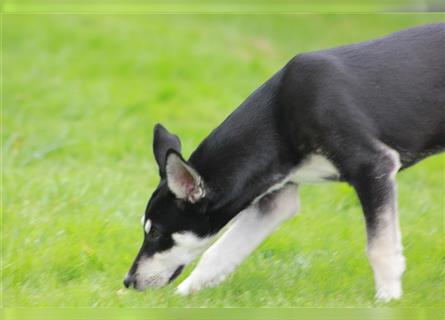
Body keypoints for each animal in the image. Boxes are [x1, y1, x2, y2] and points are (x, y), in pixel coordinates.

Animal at [122, 23, 444, 302]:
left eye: (156, 233)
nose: (128, 281)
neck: (279, 118)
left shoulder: (372, 167)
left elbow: (380, 247)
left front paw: (388, 299)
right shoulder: (275, 198)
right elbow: (220, 253)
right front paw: (182, 296)